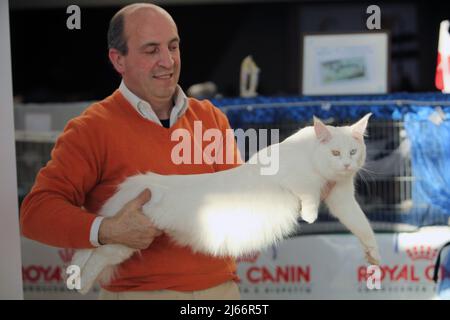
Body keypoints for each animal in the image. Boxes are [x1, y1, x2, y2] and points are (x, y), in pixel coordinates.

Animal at [73, 114, 380, 294]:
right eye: (335, 152)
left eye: (354, 151)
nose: (347, 164)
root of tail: (138, 184)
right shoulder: (294, 180)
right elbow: (308, 195)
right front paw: (311, 214)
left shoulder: (341, 198)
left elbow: (362, 227)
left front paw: (373, 256)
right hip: (125, 243)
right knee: (95, 256)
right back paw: (80, 285)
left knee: (89, 251)